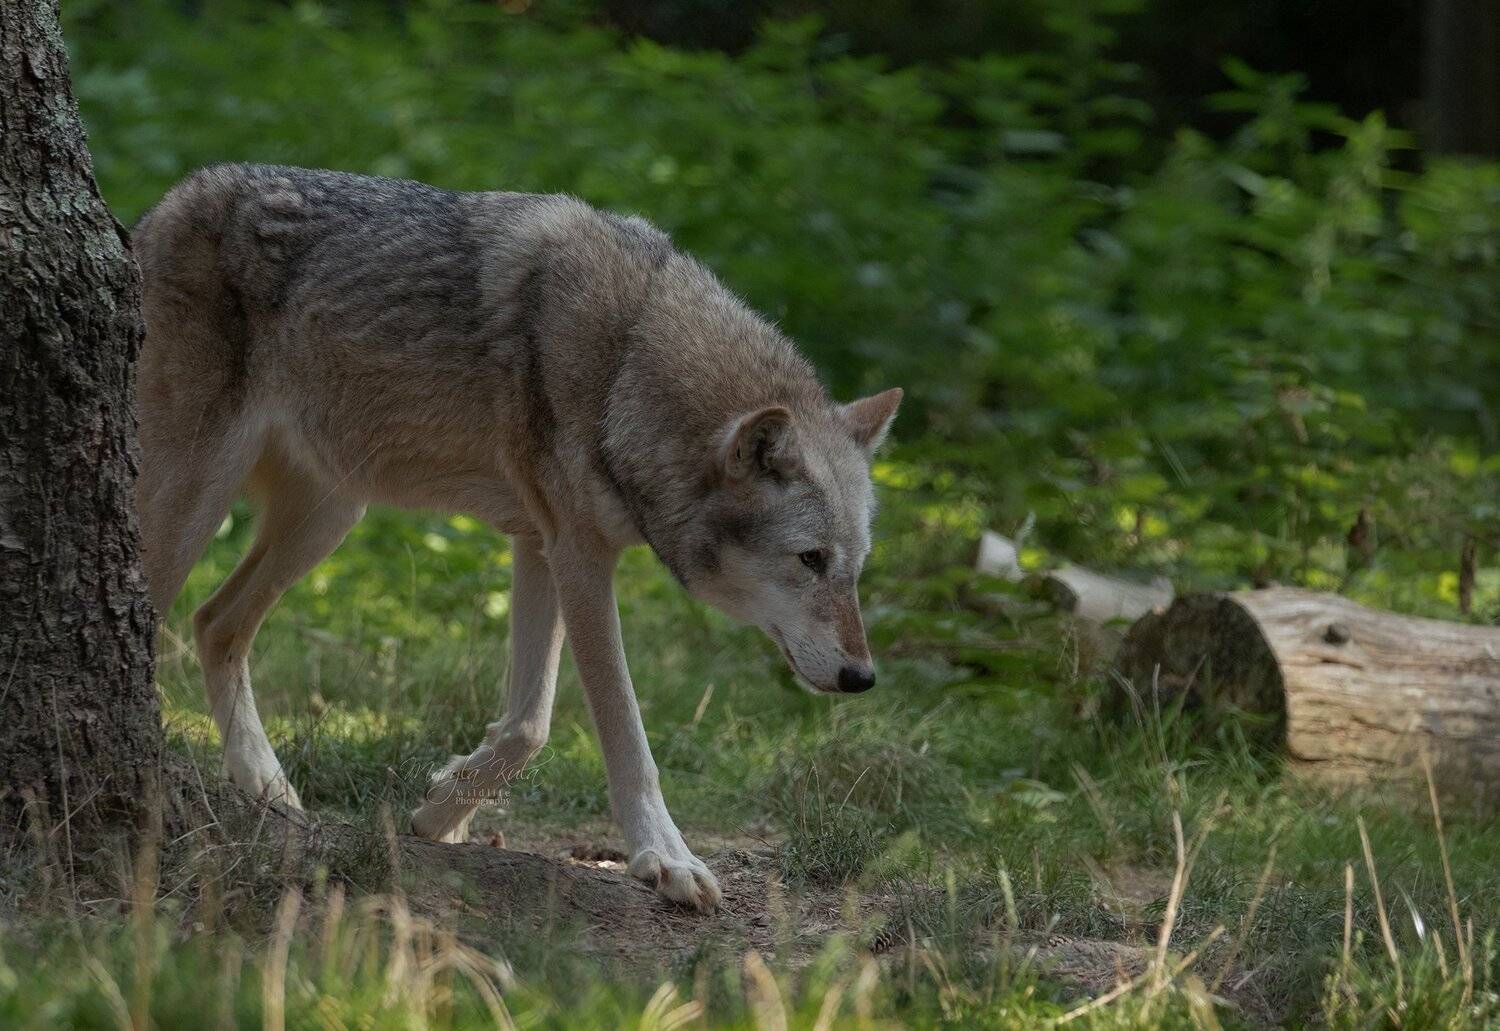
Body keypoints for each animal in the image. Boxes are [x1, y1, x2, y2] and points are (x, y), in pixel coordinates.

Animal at [132, 164, 902, 911]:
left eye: (854, 568)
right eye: (810, 559)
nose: (863, 678)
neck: (628, 364)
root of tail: (161, 205)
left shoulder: (540, 544)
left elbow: (528, 724)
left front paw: (441, 812)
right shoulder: (580, 556)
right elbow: (622, 731)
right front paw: (667, 859)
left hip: (329, 517)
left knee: (214, 623)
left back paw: (271, 792)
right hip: (196, 502)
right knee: (164, 613)